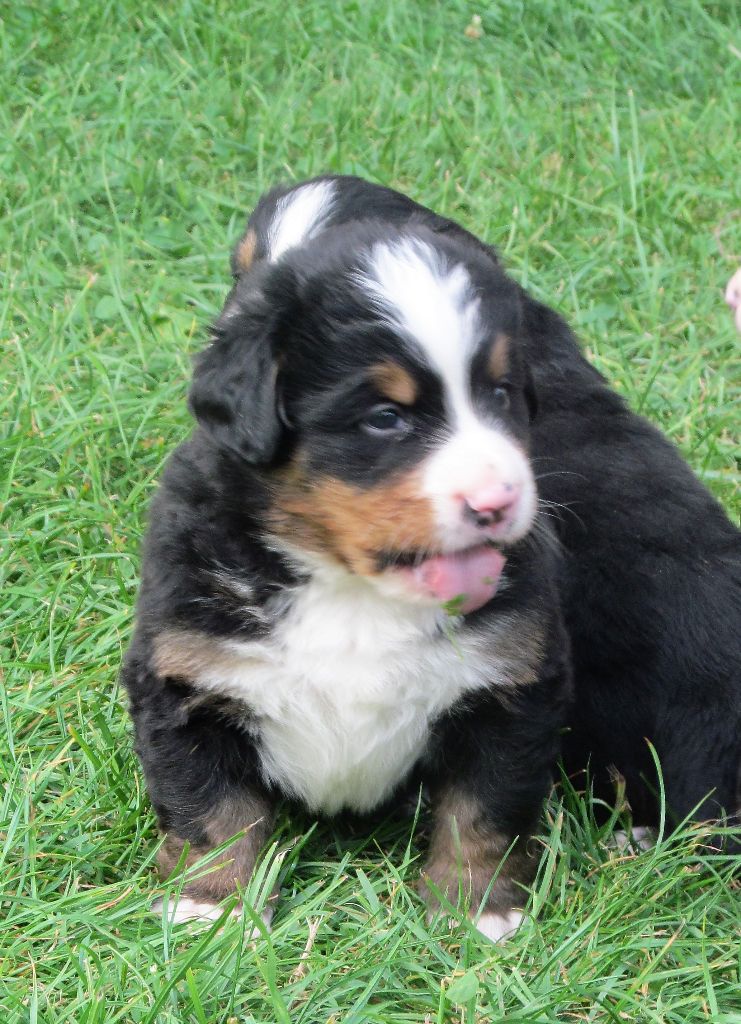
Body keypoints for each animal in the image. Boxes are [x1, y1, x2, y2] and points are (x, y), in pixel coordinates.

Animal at [123, 176, 740, 941]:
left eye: (498, 395)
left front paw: (476, 912)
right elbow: (212, 809)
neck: (354, 588)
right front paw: (213, 910)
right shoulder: (185, 675)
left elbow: (482, 810)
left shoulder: (510, 683)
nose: (495, 500)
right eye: (384, 418)